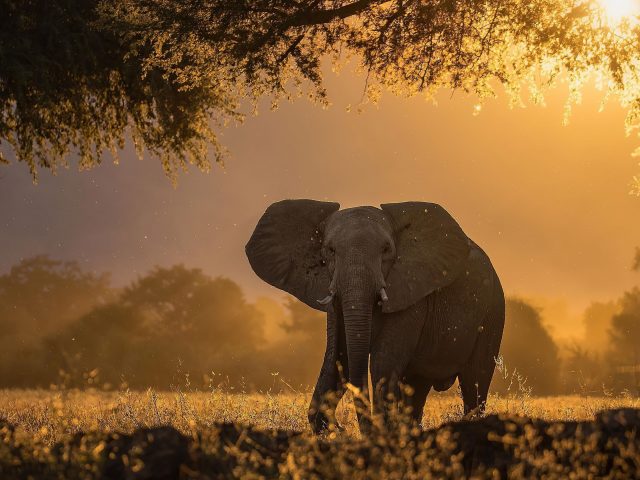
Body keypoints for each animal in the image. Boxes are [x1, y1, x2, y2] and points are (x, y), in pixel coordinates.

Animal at [245, 199, 504, 436]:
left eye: (387, 250)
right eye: (330, 250)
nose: (342, 428)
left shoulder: (410, 293)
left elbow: (383, 360)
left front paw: (380, 432)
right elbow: (337, 357)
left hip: (493, 311)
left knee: (475, 382)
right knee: (417, 386)